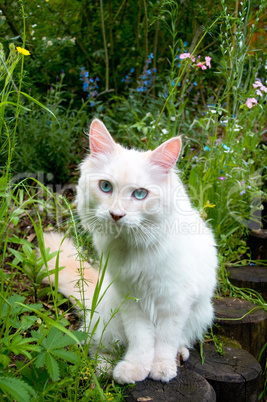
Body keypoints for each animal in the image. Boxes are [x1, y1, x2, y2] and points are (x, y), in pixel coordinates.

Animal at [42, 118, 218, 384]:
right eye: (105, 187)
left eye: (140, 194)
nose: (117, 215)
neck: (133, 246)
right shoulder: (131, 300)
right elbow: (141, 340)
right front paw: (135, 369)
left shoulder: (174, 301)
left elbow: (165, 340)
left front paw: (162, 368)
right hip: (108, 316)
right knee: (97, 347)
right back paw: (105, 368)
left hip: (201, 313)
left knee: (179, 339)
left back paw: (179, 354)